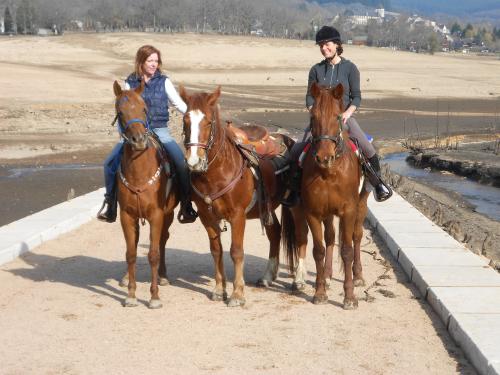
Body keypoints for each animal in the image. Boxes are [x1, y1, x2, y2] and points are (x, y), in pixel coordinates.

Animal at [113, 81, 178, 310]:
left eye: (144, 109)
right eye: (120, 112)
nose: (139, 140)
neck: (139, 173)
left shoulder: (156, 215)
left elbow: (153, 254)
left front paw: (154, 297)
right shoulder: (126, 215)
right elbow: (131, 253)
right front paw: (131, 295)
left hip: (168, 214)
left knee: (163, 241)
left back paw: (164, 276)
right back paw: (125, 278)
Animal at [178, 86, 306, 308]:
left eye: (208, 122)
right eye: (185, 120)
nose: (194, 161)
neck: (218, 171)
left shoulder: (237, 216)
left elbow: (236, 251)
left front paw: (237, 294)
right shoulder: (206, 216)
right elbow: (216, 250)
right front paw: (219, 290)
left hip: (295, 206)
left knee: (301, 236)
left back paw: (299, 280)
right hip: (267, 208)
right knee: (275, 233)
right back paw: (267, 277)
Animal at [294, 83, 370, 310]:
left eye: (337, 117)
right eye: (313, 117)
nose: (323, 157)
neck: (330, 171)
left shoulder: (348, 211)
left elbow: (346, 250)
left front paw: (350, 297)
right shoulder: (313, 212)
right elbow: (319, 249)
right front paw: (319, 292)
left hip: (361, 205)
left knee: (356, 237)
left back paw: (358, 275)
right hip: (327, 213)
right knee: (329, 238)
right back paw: (327, 276)